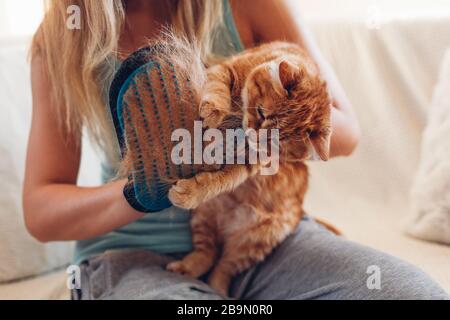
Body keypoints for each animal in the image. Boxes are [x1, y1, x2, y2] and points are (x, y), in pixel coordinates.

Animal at [167, 41, 332, 296]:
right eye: (262, 112)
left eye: (276, 142)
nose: (254, 135)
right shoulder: (228, 68)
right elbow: (217, 86)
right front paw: (214, 110)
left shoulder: (251, 163)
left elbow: (220, 181)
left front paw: (192, 191)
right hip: (203, 218)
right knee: (207, 253)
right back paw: (184, 268)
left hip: (253, 245)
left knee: (221, 267)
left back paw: (218, 290)